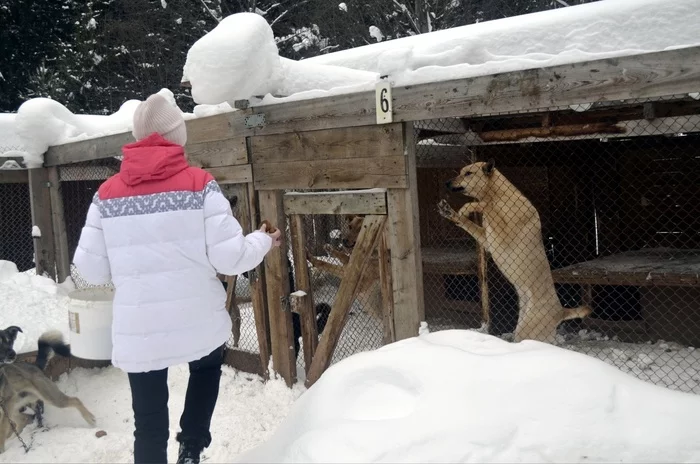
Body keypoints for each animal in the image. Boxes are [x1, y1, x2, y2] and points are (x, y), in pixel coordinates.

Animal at [438, 160, 592, 344]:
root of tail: (560, 311)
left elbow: (487, 205)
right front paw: (452, 213)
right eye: (461, 172)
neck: (499, 195)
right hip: (522, 326)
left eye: (468, 173)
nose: (447, 183)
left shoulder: (505, 234)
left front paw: (471, 207)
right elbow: (470, 223)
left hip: (526, 331)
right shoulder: (488, 240)